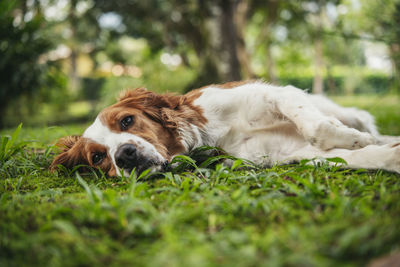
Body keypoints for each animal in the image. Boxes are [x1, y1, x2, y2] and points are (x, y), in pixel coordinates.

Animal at [50, 80, 400, 177]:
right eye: (98, 158)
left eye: (126, 121)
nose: (124, 155)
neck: (211, 135)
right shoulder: (292, 153)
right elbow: (361, 154)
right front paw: (389, 157)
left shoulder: (276, 94)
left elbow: (319, 128)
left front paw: (356, 138)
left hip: (344, 109)